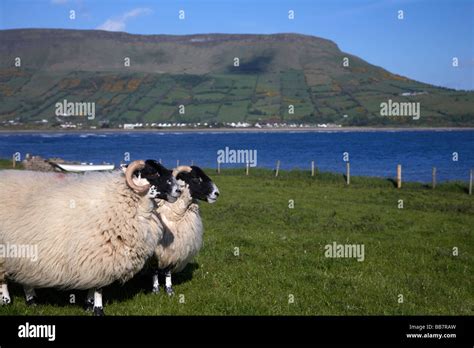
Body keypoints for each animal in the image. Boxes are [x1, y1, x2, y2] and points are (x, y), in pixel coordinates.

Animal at [0, 160, 181, 316]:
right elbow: (99, 287)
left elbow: (92, 287)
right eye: (153, 173)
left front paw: (88, 304)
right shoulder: (100, 255)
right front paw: (98, 309)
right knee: (3, 279)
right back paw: (6, 301)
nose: (179, 191)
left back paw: (31, 301)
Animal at [152, 165, 220, 294]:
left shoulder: (175, 247)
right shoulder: (156, 249)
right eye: (195, 178)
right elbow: (154, 270)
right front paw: (155, 290)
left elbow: (168, 270)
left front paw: (169, 290)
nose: (217, 193)